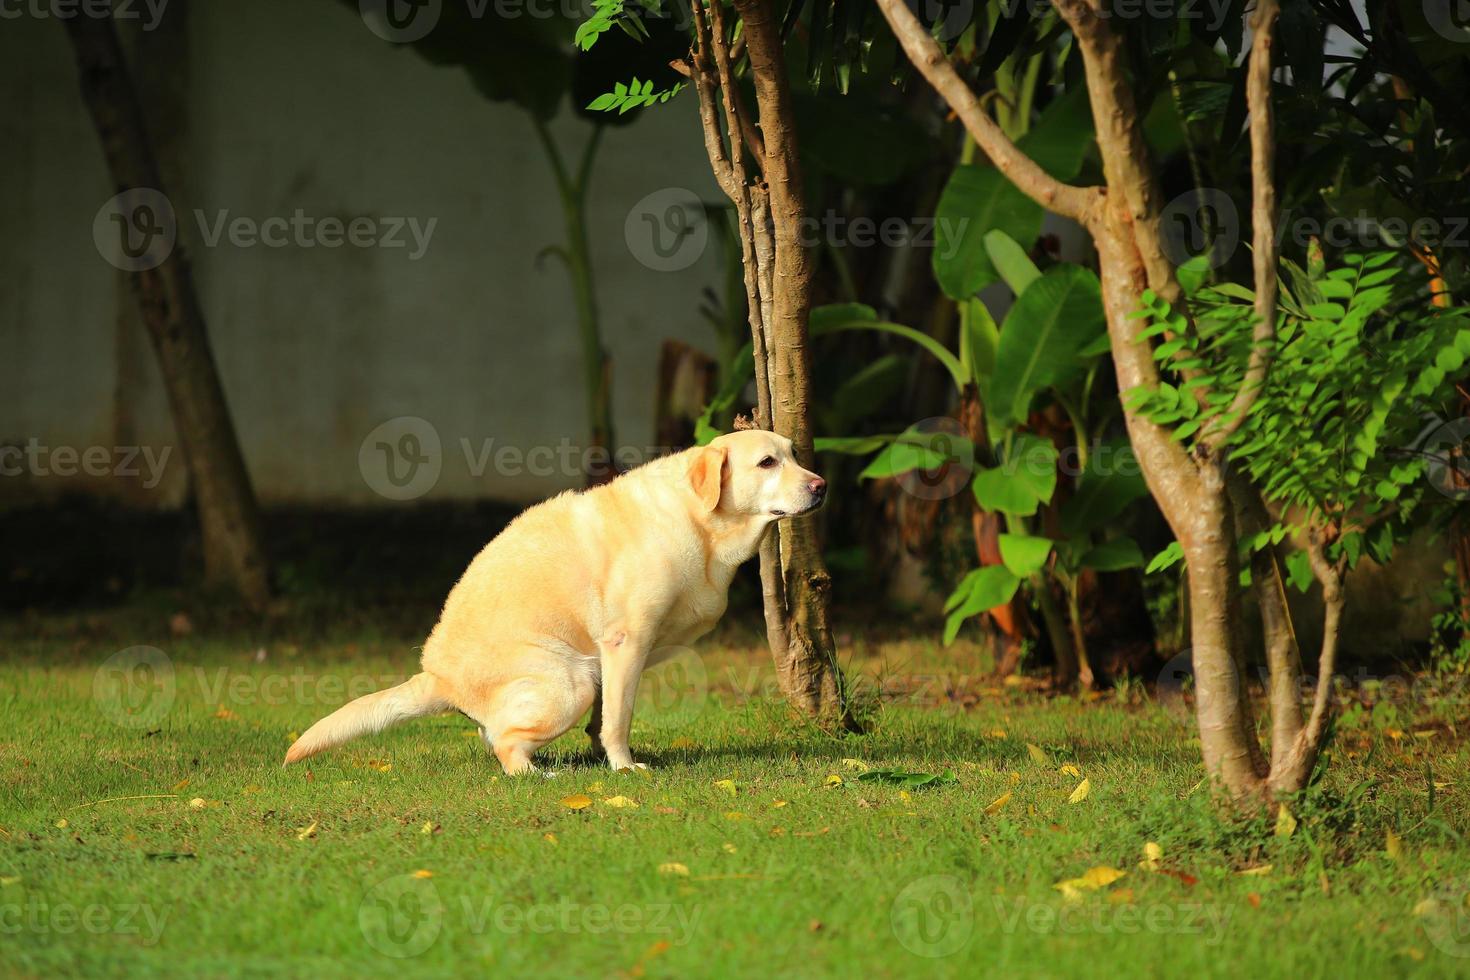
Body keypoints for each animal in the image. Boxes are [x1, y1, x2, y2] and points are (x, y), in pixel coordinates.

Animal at [280, 429, 823, 775]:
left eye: (795, 454)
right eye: (767, 463)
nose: (821, 485)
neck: (699, 519)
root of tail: (435, 676)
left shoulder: (616, 656)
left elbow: (605, 717)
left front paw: (601, 755)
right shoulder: (625, 642)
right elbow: (619, 718)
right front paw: (624, 767)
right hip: (569, 683)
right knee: (506, 748)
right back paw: (541, 776)